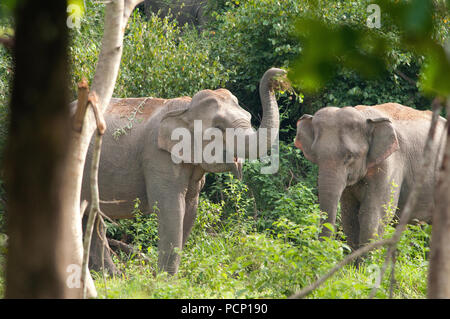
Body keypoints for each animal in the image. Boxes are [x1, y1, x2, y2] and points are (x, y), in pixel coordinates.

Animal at [81, 67, 284, 276]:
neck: (186, 108)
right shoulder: (157, 156)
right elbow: (170, 208)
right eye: (219, 127)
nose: (278, 74)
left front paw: (169, 276)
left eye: (249, 118)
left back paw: (108, 275)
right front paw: (164, 278)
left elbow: (190, 208)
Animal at [296, 104, 446, 251]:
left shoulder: (389, 164)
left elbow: (373, 216)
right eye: (316, 155)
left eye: (349, 156)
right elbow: (349, 216)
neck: (364, 115)